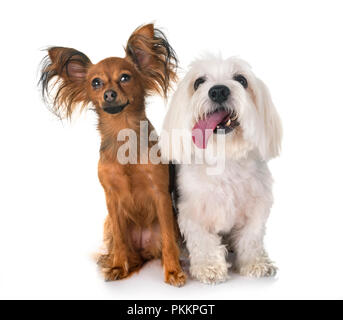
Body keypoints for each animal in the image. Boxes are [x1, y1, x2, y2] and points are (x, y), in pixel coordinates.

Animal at [40, 23, 187, 286]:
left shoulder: (160, 195)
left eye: (125, 78)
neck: (122, 134)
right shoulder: (111, 200)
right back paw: (119, 264)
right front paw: (118, 266)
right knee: (125, 248)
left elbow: (169, 241)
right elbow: (120, 240)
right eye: (96, 83)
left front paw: (173, 271)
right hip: (109, 224)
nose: (108, 94)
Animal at [160, 56, 284, 284]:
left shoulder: (256, 208)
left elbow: (251, 237)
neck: (225, 157)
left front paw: (254, 263)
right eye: (198, 82)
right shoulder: (193, 212)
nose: (218, 91)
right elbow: (203, 241)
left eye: (241, 80)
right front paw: (209, 267)